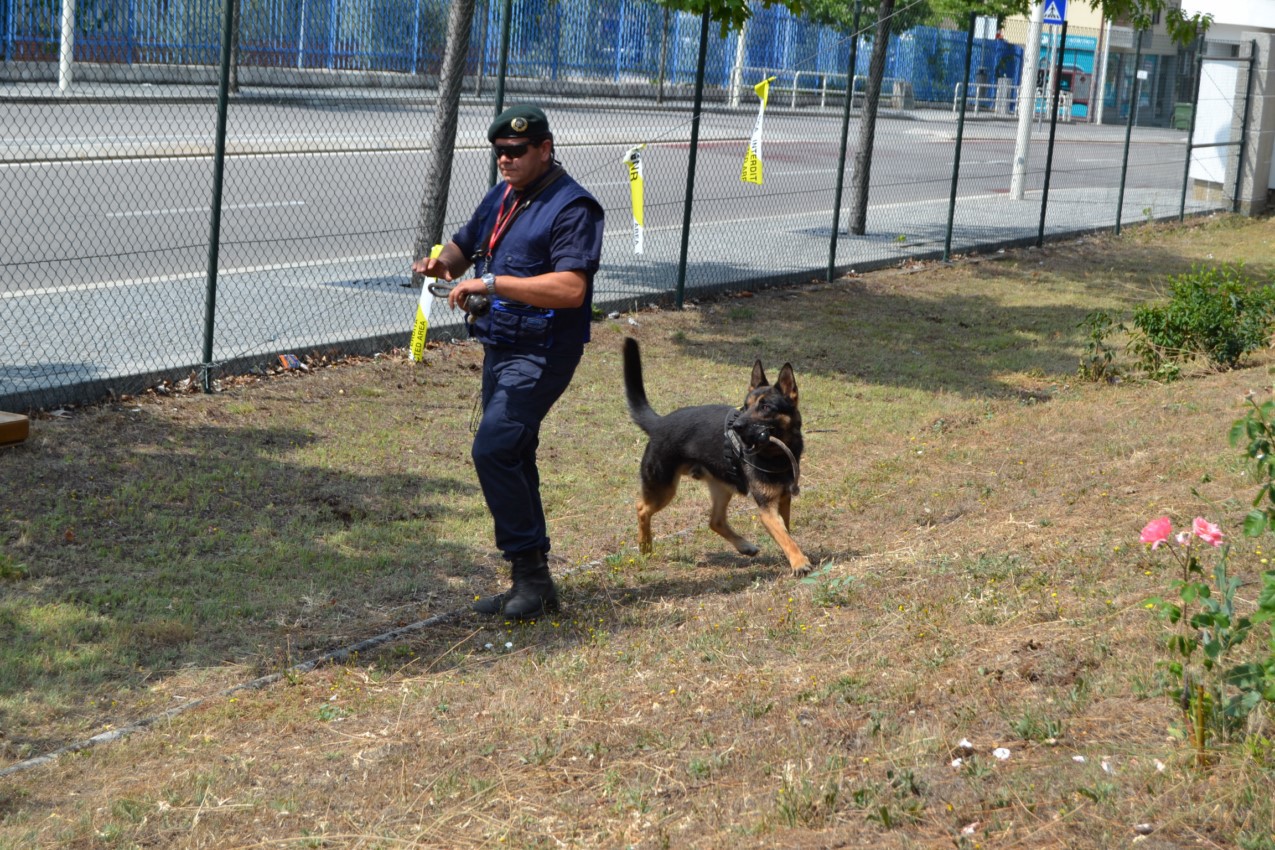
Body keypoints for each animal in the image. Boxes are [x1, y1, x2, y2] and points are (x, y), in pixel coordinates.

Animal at [622, 336, 810, 576]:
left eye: (766, 407)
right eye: (745, 406)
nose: (736, 427)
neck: (777, 454)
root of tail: (659, 423)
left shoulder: (784, 499)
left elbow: (786, 532)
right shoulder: (767, 510)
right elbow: (784, 536)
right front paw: (799, 561)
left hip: (722, 487)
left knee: (715, 521)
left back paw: (744, 546)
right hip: (663, 488)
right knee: (642, 508)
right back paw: (645, 545)